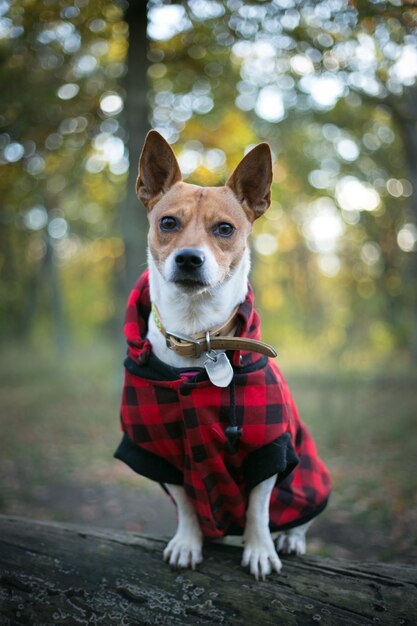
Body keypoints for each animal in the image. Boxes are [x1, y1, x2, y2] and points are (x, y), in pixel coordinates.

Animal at [114, 129, 328, 576]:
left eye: (225, 229)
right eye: (168, 223)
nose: (189, 258)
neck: (199, 336)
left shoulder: (270, 444)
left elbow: (259, 508)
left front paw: (260, 549)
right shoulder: (157, 447)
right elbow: (185, 502)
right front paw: (188, 542)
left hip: (308, 475)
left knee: (300, 514)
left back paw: (291, 537)